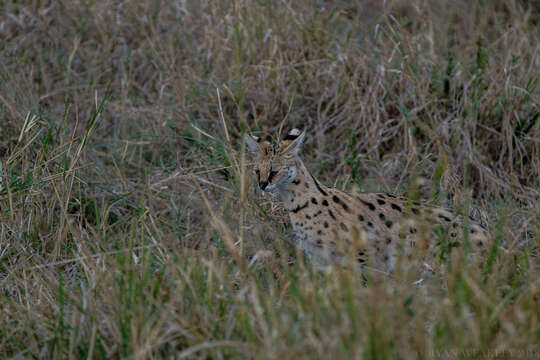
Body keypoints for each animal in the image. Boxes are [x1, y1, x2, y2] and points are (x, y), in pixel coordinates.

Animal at [247, 125, 492, 274]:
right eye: (257, 171)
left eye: (274, 171)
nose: (262, 185)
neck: (298, 202)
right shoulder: (320, 261)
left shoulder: (362, 254)